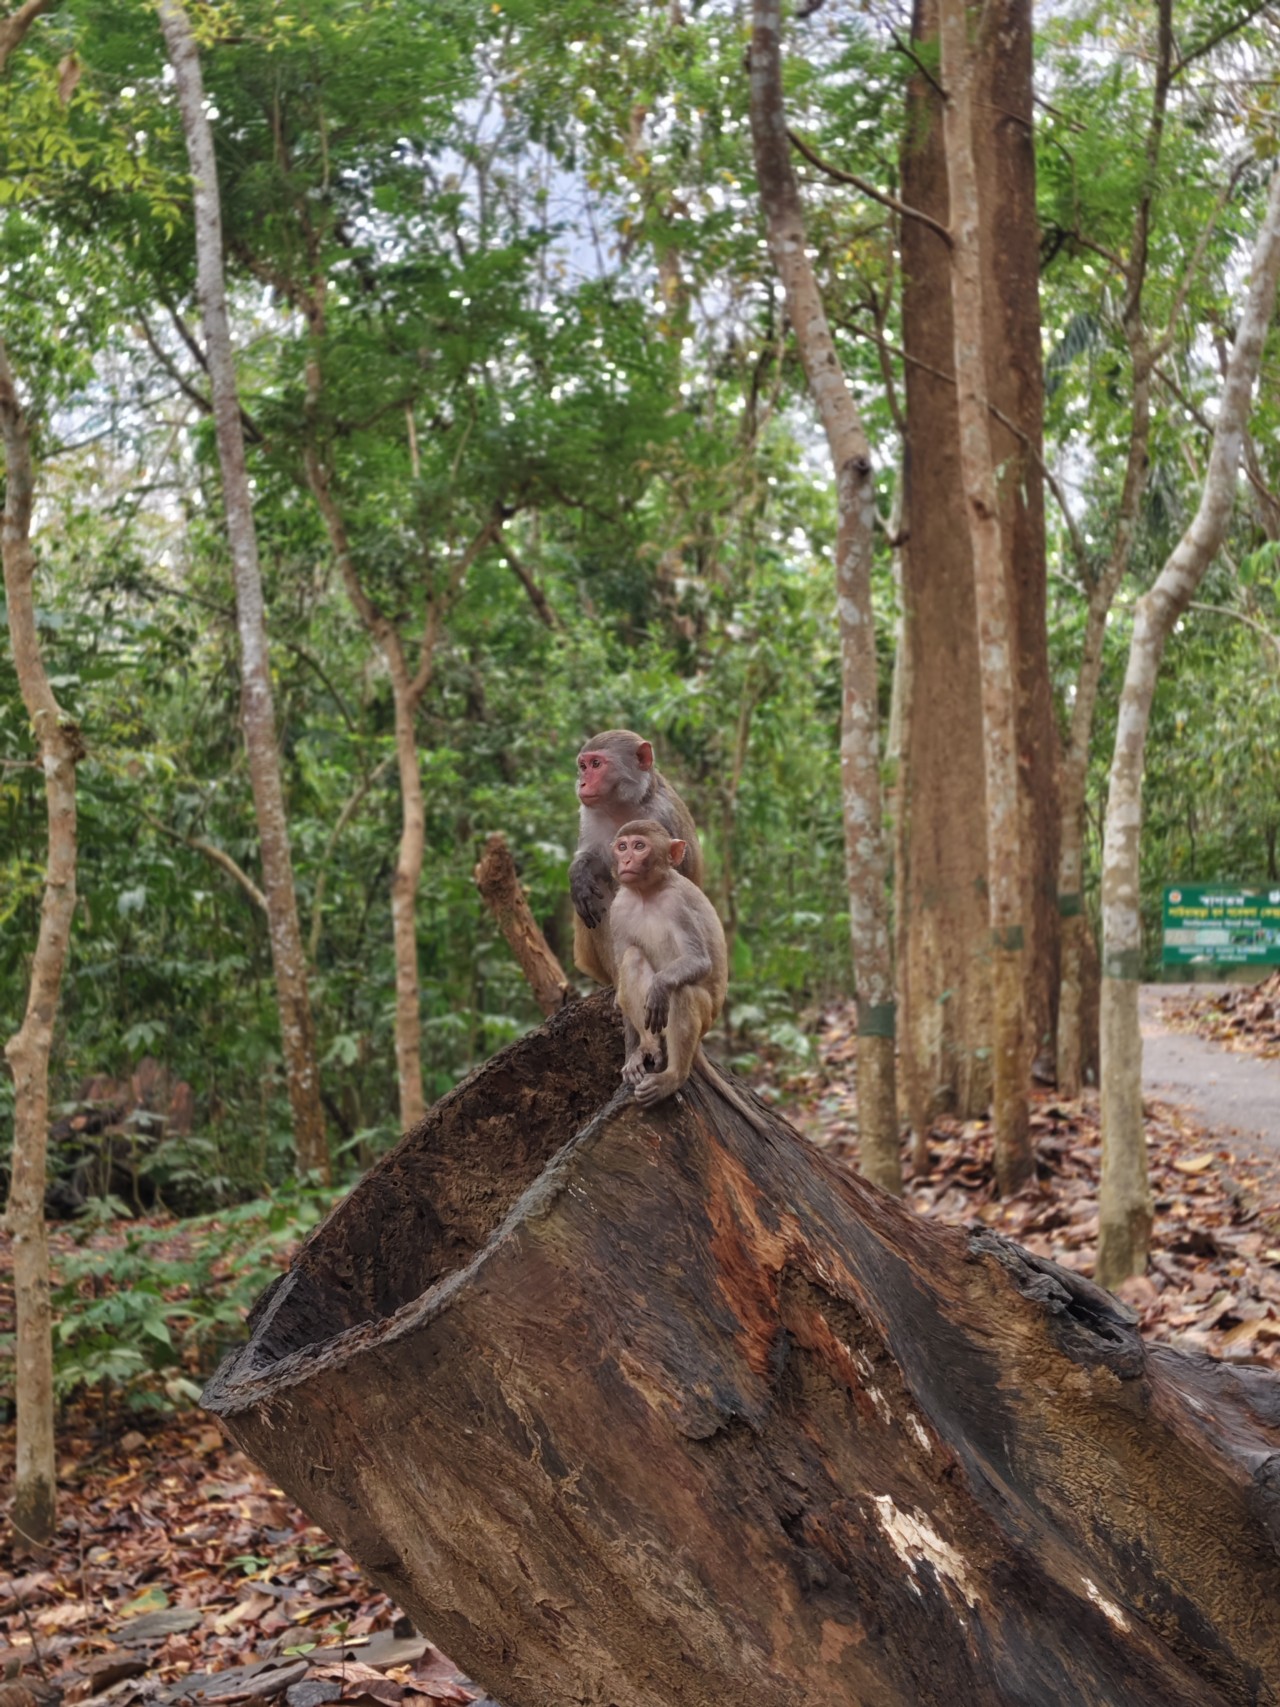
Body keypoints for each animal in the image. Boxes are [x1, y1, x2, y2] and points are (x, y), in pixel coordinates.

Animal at [569, 729, 703, 985]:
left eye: (596, 764)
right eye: (583, 766)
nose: (582, 783)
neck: (622, 806)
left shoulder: (662, 819)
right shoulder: (589, 815)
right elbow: (593, 861)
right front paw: (579, 875)